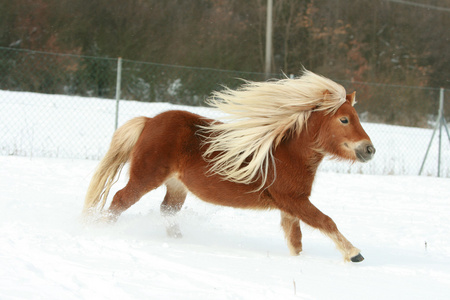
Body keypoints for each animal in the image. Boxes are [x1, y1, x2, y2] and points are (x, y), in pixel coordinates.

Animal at [82, 70, 374, 262]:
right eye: (345, 120)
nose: (369, 150)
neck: (287, 153)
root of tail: (149, 121)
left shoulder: (290, 205)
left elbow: (296, 239)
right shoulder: (293, 200)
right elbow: (326, 221)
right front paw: (354, 254)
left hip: (176, 186)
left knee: (166, 211)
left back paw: (180, 241)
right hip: (146, 177)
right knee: (120, 200)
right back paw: (99, 229)